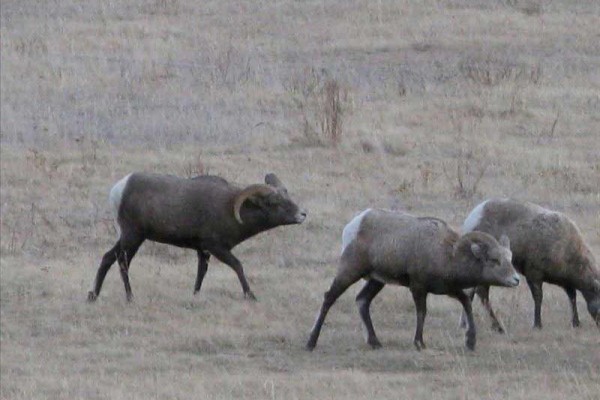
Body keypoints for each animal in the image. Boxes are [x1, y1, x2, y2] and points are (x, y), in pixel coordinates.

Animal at [86, 173, 308, 304]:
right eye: (273, 202)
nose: (303, 214)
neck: (228, 209)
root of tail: (119, 189)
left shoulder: (204, 251)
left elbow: (201, 274)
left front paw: (195, 296)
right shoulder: (216, 248)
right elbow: (237, 266)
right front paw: (250, 295)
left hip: (128, 238)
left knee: (108, 258)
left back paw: (93, 296)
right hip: (133, 238)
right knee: (122, 262)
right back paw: (130, 297)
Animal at [308, 209, 516, 350]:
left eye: (510, 258)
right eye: (494, 260)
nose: (515, 280)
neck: (445, 254)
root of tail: (355, 224)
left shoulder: (451, 290)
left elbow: (466, 303)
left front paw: (470, 342)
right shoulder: (418, 287)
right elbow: (422, 312)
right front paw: (419, 343)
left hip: (376, 281)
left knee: (362, 301)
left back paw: (375, 343)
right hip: (350, 271)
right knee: (329, 297)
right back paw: (311, 342)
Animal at [462, 198, 596, 332]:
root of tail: (473, 218)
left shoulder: (566, 282)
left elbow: (572, 297)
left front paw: (576, 323)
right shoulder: (534, 275)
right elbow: (538, 298)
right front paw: (537, 324)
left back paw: (465, 324)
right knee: (482, 294)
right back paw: (497, 327)